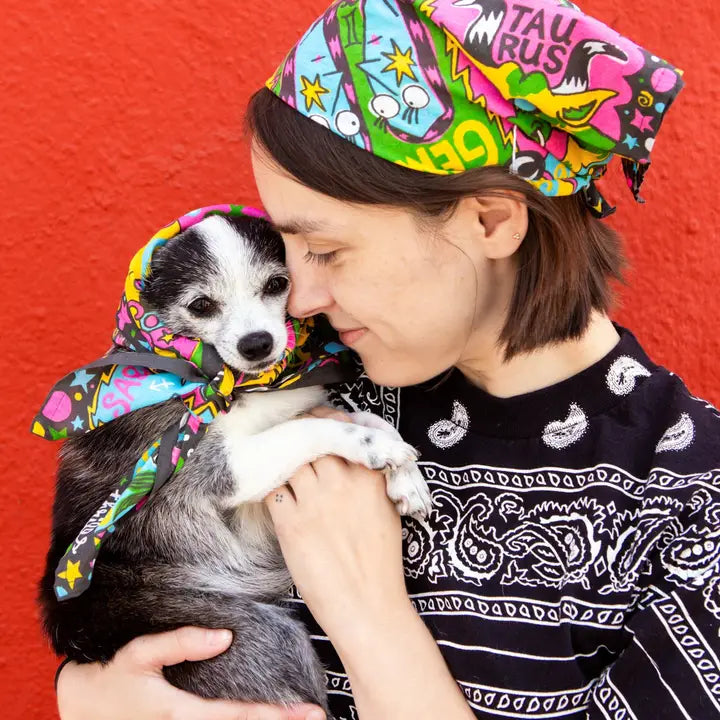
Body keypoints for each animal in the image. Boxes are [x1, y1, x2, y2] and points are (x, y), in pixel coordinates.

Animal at [39, 211, 430, 712]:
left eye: (278, 283)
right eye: (201, 304)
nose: (257, 343)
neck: (232, 383)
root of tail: (79, 635)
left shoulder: (302, 407)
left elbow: (363, 416)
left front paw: (407, 477)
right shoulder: (222, 468)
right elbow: (312, 431)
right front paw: (374, 448)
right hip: (263, 635)